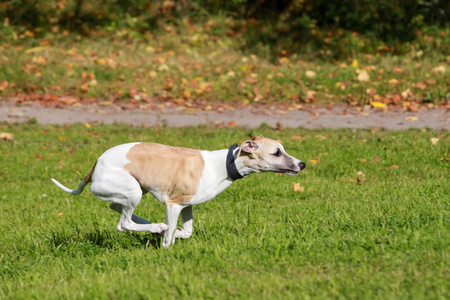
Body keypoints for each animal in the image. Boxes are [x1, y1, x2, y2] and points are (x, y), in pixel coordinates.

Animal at [51, 136, 306, 248]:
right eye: (276, 153)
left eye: (282, 149)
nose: (302, 164)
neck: (224, 165)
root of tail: (96, 164)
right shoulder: (173, 203)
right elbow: (170, 238)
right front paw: (166, 244)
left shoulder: (187, 205)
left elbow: (188, 231)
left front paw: (176, 234)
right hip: (132, 191)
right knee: (123, 223)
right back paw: (155, 227)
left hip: (134, 189)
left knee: (116, 206)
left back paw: (154, 226)